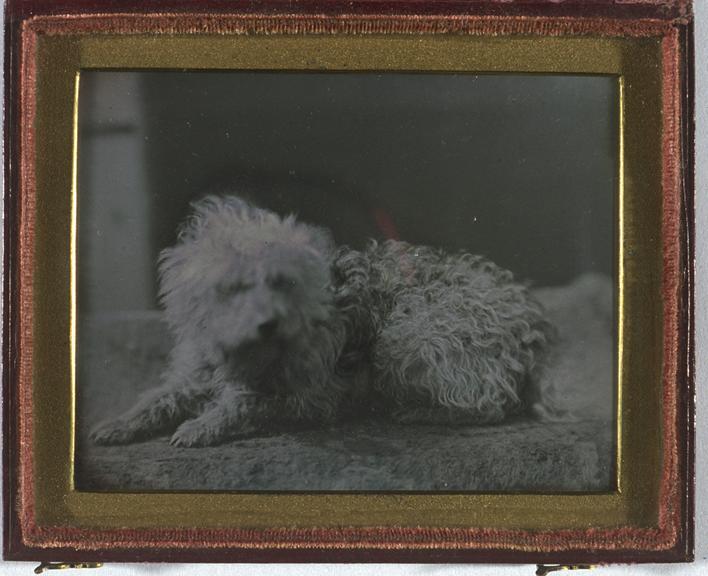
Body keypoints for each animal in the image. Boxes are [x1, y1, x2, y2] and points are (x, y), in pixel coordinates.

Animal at [91, 196, 560, 448]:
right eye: (234, 285)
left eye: (282, 281)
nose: (267, 324)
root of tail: (529, 328)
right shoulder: (194, 373)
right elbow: (157, 397)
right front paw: (119, 423)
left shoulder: (315, 398)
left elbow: (248, 403)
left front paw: (204, 424)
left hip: (409, 335)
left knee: (489, 404)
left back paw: (421, 411)